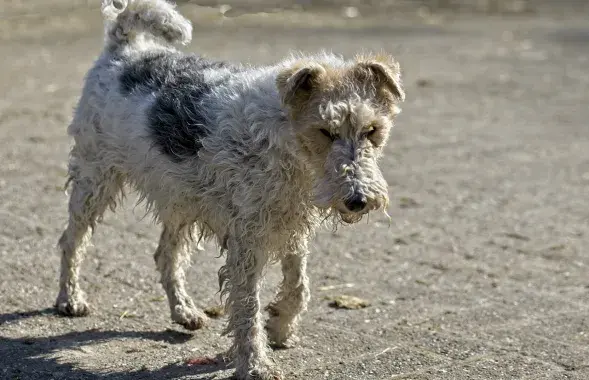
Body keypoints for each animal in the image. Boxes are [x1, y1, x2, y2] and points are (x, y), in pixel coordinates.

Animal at [55, 0, 404, 378]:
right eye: (326, 130)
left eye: (372, 130)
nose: (358, 200)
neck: (284, 139)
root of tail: (127, 48)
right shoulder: (247, 240)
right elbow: (248, 307)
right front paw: (256, 364)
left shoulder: (289, 221)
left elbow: (298, 286)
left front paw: (280, 327)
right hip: (95, 178)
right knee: (72, 241)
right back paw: (70, 299)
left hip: (180, 198)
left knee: (165, 255)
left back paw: (185, 312)